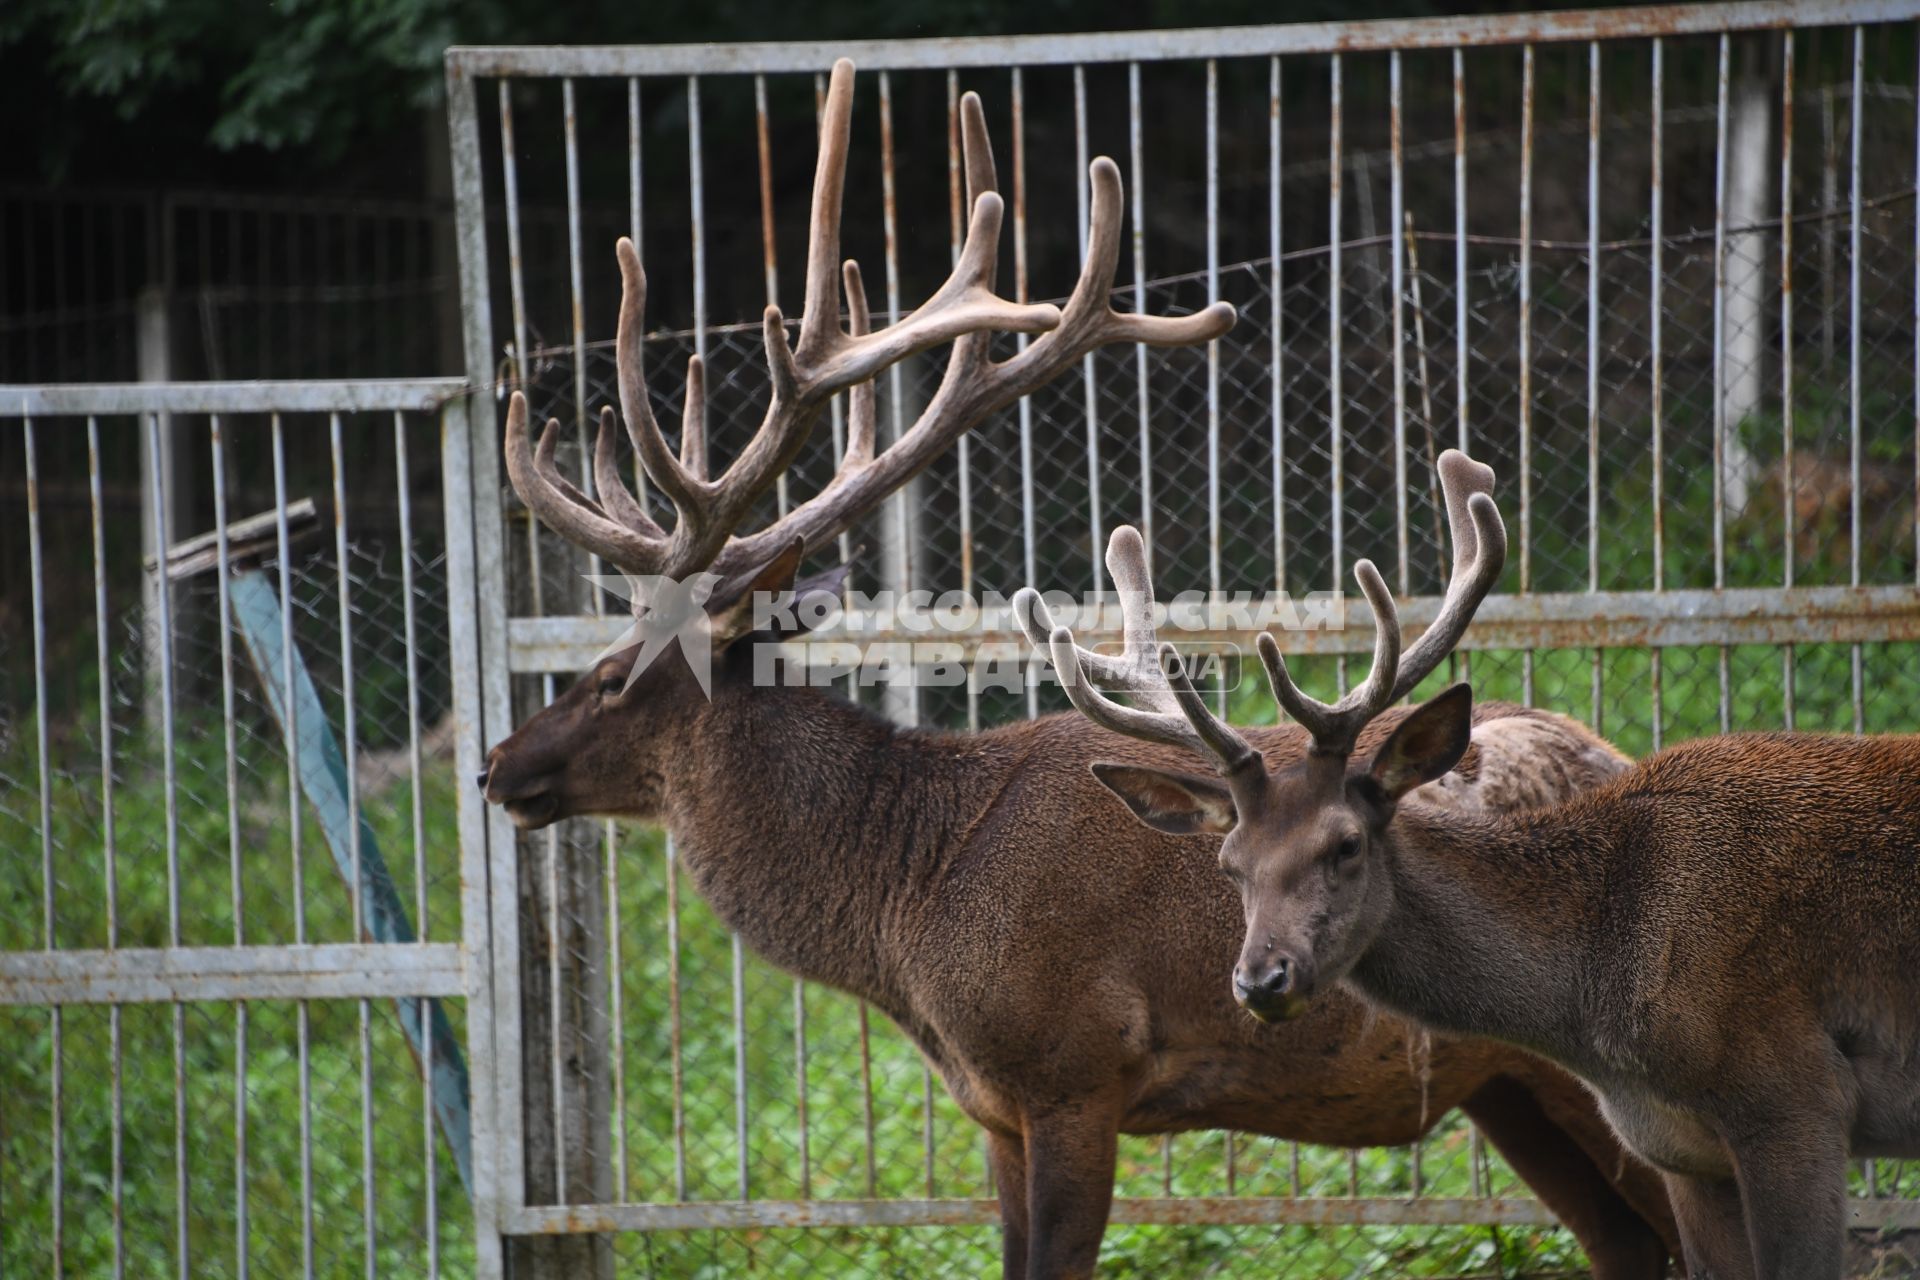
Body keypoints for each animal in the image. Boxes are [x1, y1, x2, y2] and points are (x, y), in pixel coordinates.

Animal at [483, 62, 1681, 1280]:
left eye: (613, 674)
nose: (495, 765)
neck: (911, 911)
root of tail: (1615, 754)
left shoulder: (1073, 1071)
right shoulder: (997, 1113)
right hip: (1507, 1085)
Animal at [1059, 454, 1920, 1274]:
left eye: (1345, 843)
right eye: (1230, 862)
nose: (1261, 979)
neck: (1602, 1003)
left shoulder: (1796, 1097)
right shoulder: (1680, 1149)